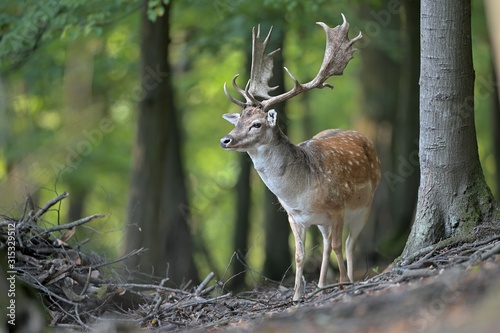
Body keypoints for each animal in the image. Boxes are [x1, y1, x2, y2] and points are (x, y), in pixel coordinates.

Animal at [219, 14, 378, 300]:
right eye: (238, 122)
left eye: (257, 124)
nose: (225, 140)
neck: (299, 193)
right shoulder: (294, 216)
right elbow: (300, 255)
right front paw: (295, 296)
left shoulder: (338, 207)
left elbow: (339, 246)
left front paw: (343, 285)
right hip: (324, 222)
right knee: (326, 244)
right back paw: (323, 285)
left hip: (366, 203)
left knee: (349, 243)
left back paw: (348, 281)